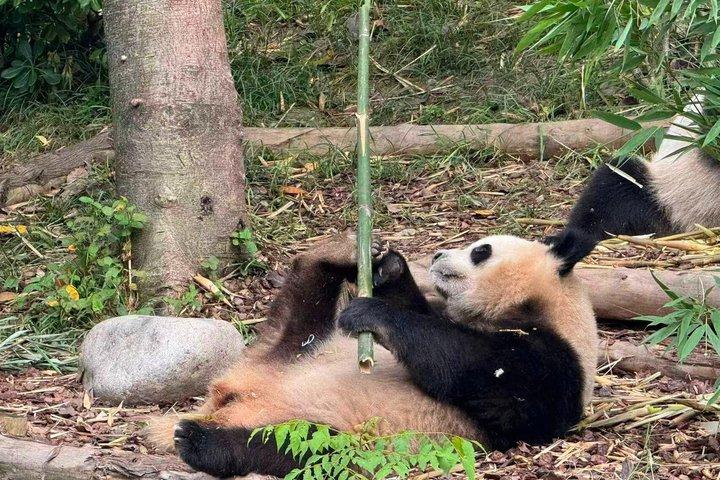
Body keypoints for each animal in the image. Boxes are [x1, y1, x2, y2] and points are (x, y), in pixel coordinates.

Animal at [149, 229, 598, 478]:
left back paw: (201, 441)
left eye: (481, 251)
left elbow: (474, 367)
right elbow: (420, 311)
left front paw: (374, 313)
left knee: (298, 448)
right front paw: (388, 267)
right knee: (299, 310)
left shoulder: (554, 370)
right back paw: (336, 253)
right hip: (291, 349)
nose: (438, 255)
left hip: (351, 437)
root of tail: (227, 400)